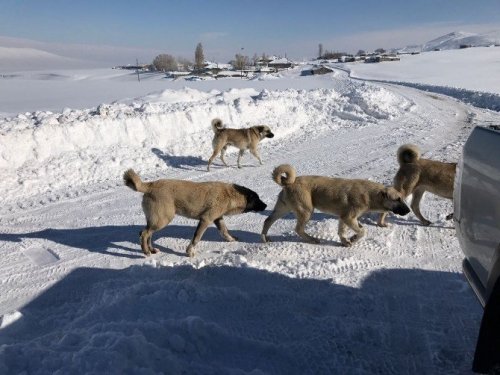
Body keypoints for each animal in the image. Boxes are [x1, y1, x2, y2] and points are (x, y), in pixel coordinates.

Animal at [123, 170, 268, 258]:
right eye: (258, 199)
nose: (266, 206)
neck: (229, 195)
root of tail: (150, 185)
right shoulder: (205, 219)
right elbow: (196, 238)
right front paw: (189, 252)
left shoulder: (218, 219)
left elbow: (224, 231)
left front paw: (231, 239)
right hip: (163, 219)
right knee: (144, 234)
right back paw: (146, 252)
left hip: (157, 220)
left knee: (147, 234)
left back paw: (152, 250)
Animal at [260, 164, 408, 247]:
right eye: (398, 199)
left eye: (402, 198)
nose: (408, 210)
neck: (370, 195)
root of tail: (289, 182)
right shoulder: (348, 217)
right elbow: (362, 231)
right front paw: (353, 238)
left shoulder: (343, 218)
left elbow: (343, 231)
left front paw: (346, 241)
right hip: (306, 211)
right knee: (298, 229)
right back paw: (313, 239)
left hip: (282, 208)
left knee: (267, 221)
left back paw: (265, 238)